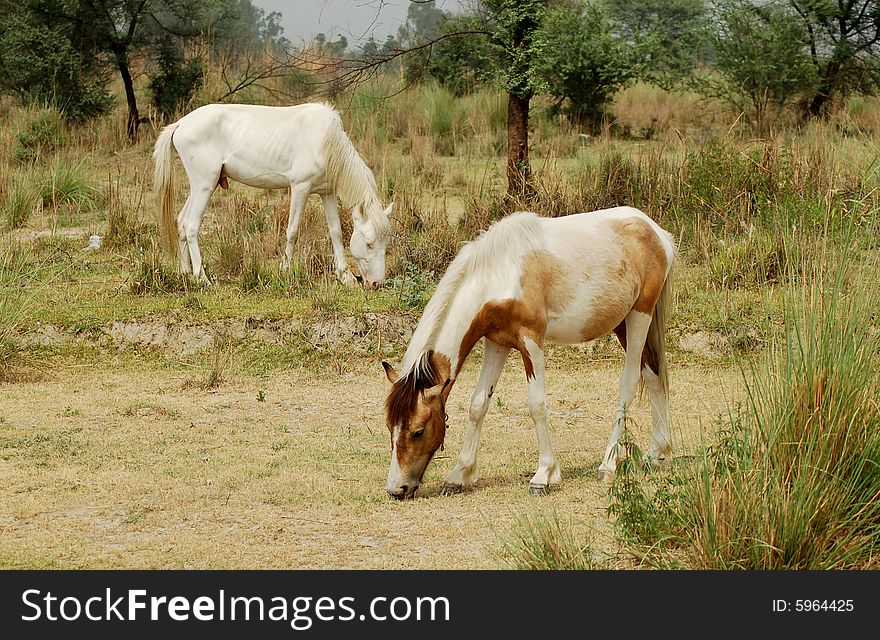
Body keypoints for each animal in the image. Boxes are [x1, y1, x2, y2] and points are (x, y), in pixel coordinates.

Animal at [152, 102, 392, 288]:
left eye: (385, 243)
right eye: (369, 243)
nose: (376, 284)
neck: (324, 140)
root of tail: (181, 123)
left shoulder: (327, 193)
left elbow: (336, 232)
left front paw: (345, 276)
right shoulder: (300, 187)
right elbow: (292, 230)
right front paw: (285, 269)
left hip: (198, 187)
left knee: (182, 222)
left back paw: (186, 272)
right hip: (204, 185)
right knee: (192, 226)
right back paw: (201, 277)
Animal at [382, 208, 676, 498]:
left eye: (418, 431)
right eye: (390, 427)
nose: (398, 488)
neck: (501, 271)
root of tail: (656, 232)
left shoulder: (531, 342)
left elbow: (536, 404)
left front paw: (544, 475)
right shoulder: (496, 343)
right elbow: (478, 404)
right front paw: (459, 475)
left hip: (639, 316)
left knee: (629, 384)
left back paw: (608, 464)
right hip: (623, 324)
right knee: (653, 375)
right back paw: (655, 453)